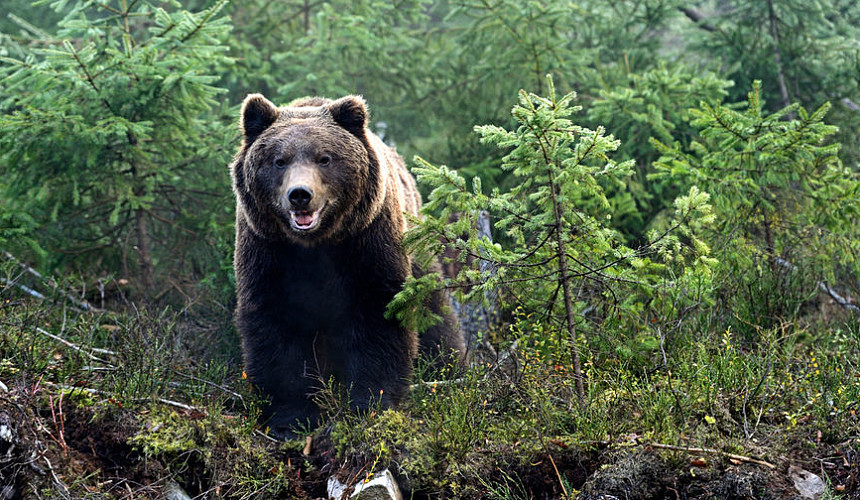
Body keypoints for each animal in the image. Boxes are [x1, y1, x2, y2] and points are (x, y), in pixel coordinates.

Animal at [227, 93, 456, 438]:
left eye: (324, 158)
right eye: (279, 160)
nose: (300, 195)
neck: (316, 244)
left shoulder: (366, 243)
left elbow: (379, 317)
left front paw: (369, 405)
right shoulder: (269, 252)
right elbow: (277, 329)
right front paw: (291, 418)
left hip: (417, 251)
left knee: (436, 317)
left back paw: (449, 367)